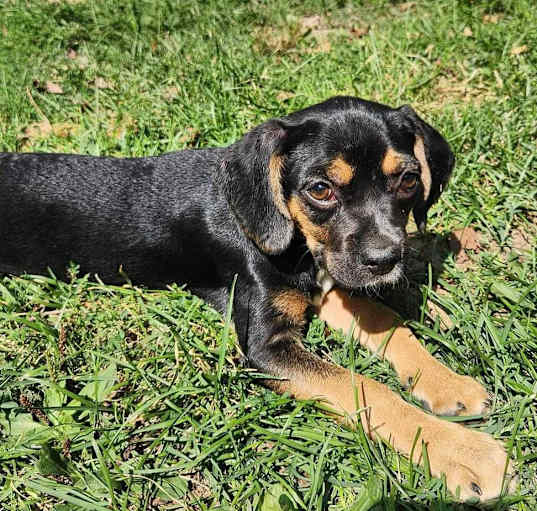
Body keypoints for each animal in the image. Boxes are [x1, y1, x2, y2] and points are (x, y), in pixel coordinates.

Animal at [0, 97, 510, 504]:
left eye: (407, 180)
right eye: (320, 189)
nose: (386, 260)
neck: (295, 241)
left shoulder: (329, 286)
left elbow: (390, 324)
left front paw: (449, 385)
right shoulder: (268, 345)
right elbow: (363, 387)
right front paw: (464, 452)